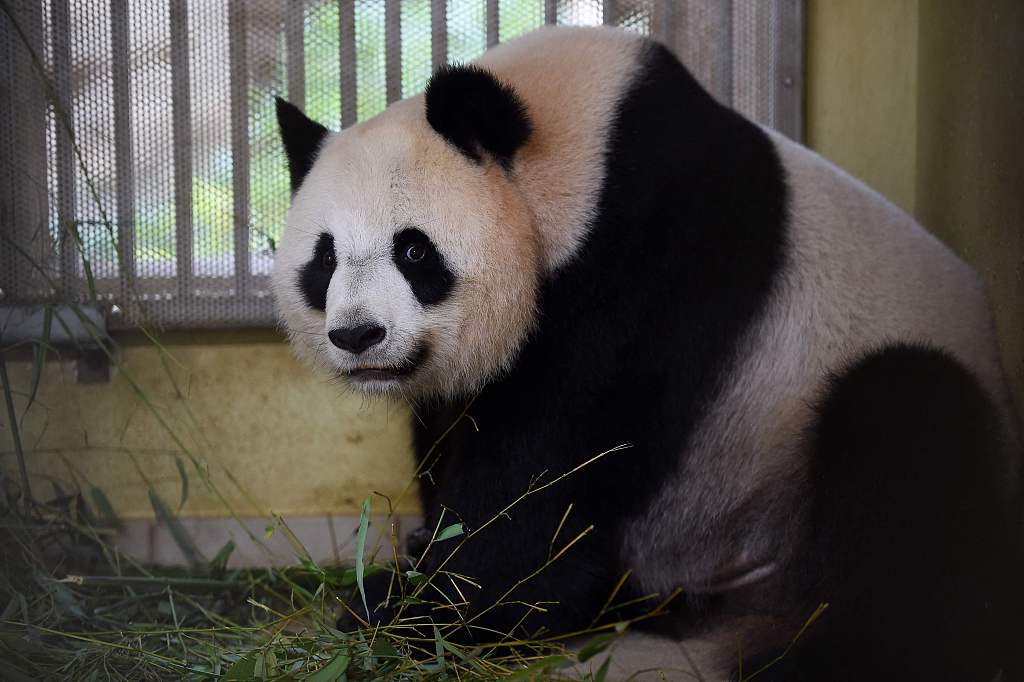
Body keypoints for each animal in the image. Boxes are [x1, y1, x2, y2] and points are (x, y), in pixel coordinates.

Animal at [272, 23, 1024, 675]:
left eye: (414, 250)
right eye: (324, 259)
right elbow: (461, 428)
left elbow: (554, 457)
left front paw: (419, 613)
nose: (358, 335)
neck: (574, 145)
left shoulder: (654, 247)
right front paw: (422, 562)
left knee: (907, 435)